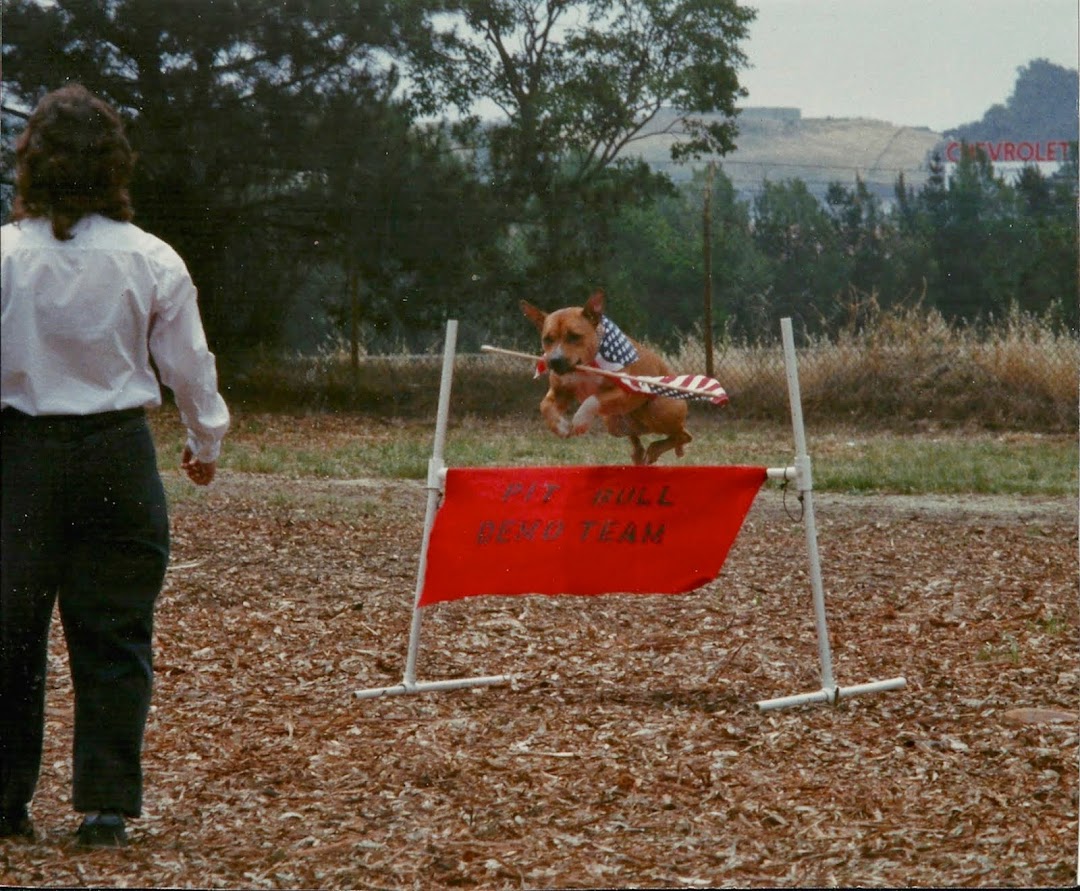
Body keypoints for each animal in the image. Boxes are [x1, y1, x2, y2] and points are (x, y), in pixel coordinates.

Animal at [520, 289, 691, 466]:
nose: (555, 360)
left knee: (683, 434)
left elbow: (592, 399)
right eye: (547, 339)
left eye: (574, 336)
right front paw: (560, 427)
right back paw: (641, 453)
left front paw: (580, 421)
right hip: (614, 423)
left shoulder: (622, 392)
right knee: (642, 438)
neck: (585, 367)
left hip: (657, 410)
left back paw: (657, 449)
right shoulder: (560, 392)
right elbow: (544, 406)